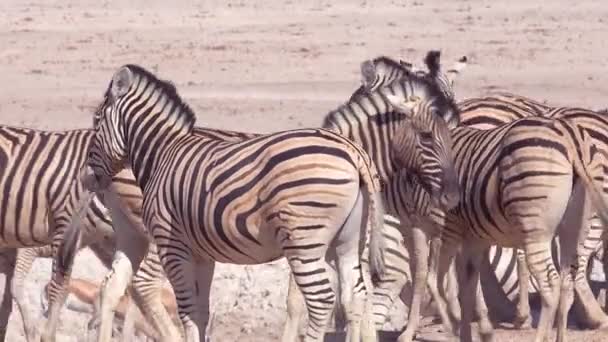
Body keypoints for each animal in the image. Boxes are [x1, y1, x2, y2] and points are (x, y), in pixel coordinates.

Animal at [69, 63, 458, 342]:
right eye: (428, 136)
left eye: (96, 120)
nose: (87, 177)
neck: (163, 153)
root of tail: (351, 154)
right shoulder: (201, 251)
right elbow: (203, 310)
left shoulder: (176, 245)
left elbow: (194, 309)